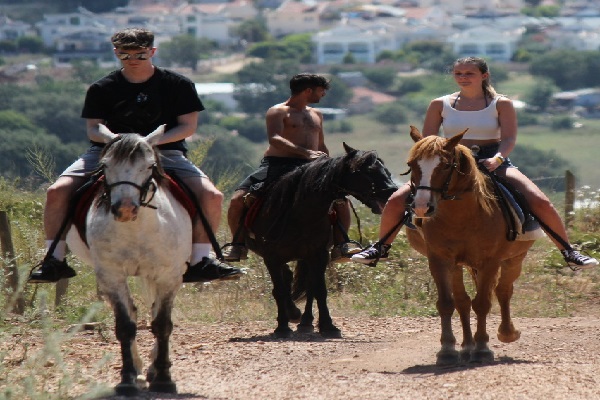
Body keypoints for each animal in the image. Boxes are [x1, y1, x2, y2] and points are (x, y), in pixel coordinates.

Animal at [65, 126, 190, 396]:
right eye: (105, 165)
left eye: (149, 165)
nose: (124, 209)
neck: (137, 229)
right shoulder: (111, 276)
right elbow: (125, 326)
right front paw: (127, 379)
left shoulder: (168, 276)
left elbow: (162, 324)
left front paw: (164, 378)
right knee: (134, 313)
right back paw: (142, 372)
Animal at [244, 144, 398, 338]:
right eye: (368, 171)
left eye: (386, 170)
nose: (392, 191)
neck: (299, 214)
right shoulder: (271, 258)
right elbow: (280, 290)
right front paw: (282, 326)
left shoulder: (318, 255)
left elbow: (319, 290)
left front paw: (328, 326)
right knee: (287, 281)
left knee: (308, 285)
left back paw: (305, 321)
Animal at [404, 127, 536, 366]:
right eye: (411, 164)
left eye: (446, 165)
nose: (421, 207)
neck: (462, 216)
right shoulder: (439, 260)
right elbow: (447, 303)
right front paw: (447, 349)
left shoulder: (490, 262)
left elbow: (482, 302)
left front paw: (482, 348)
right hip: (458, 266)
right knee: (463, 302)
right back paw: (466, 346)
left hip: (514, 260)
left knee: (503, 290)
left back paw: (507, 332)